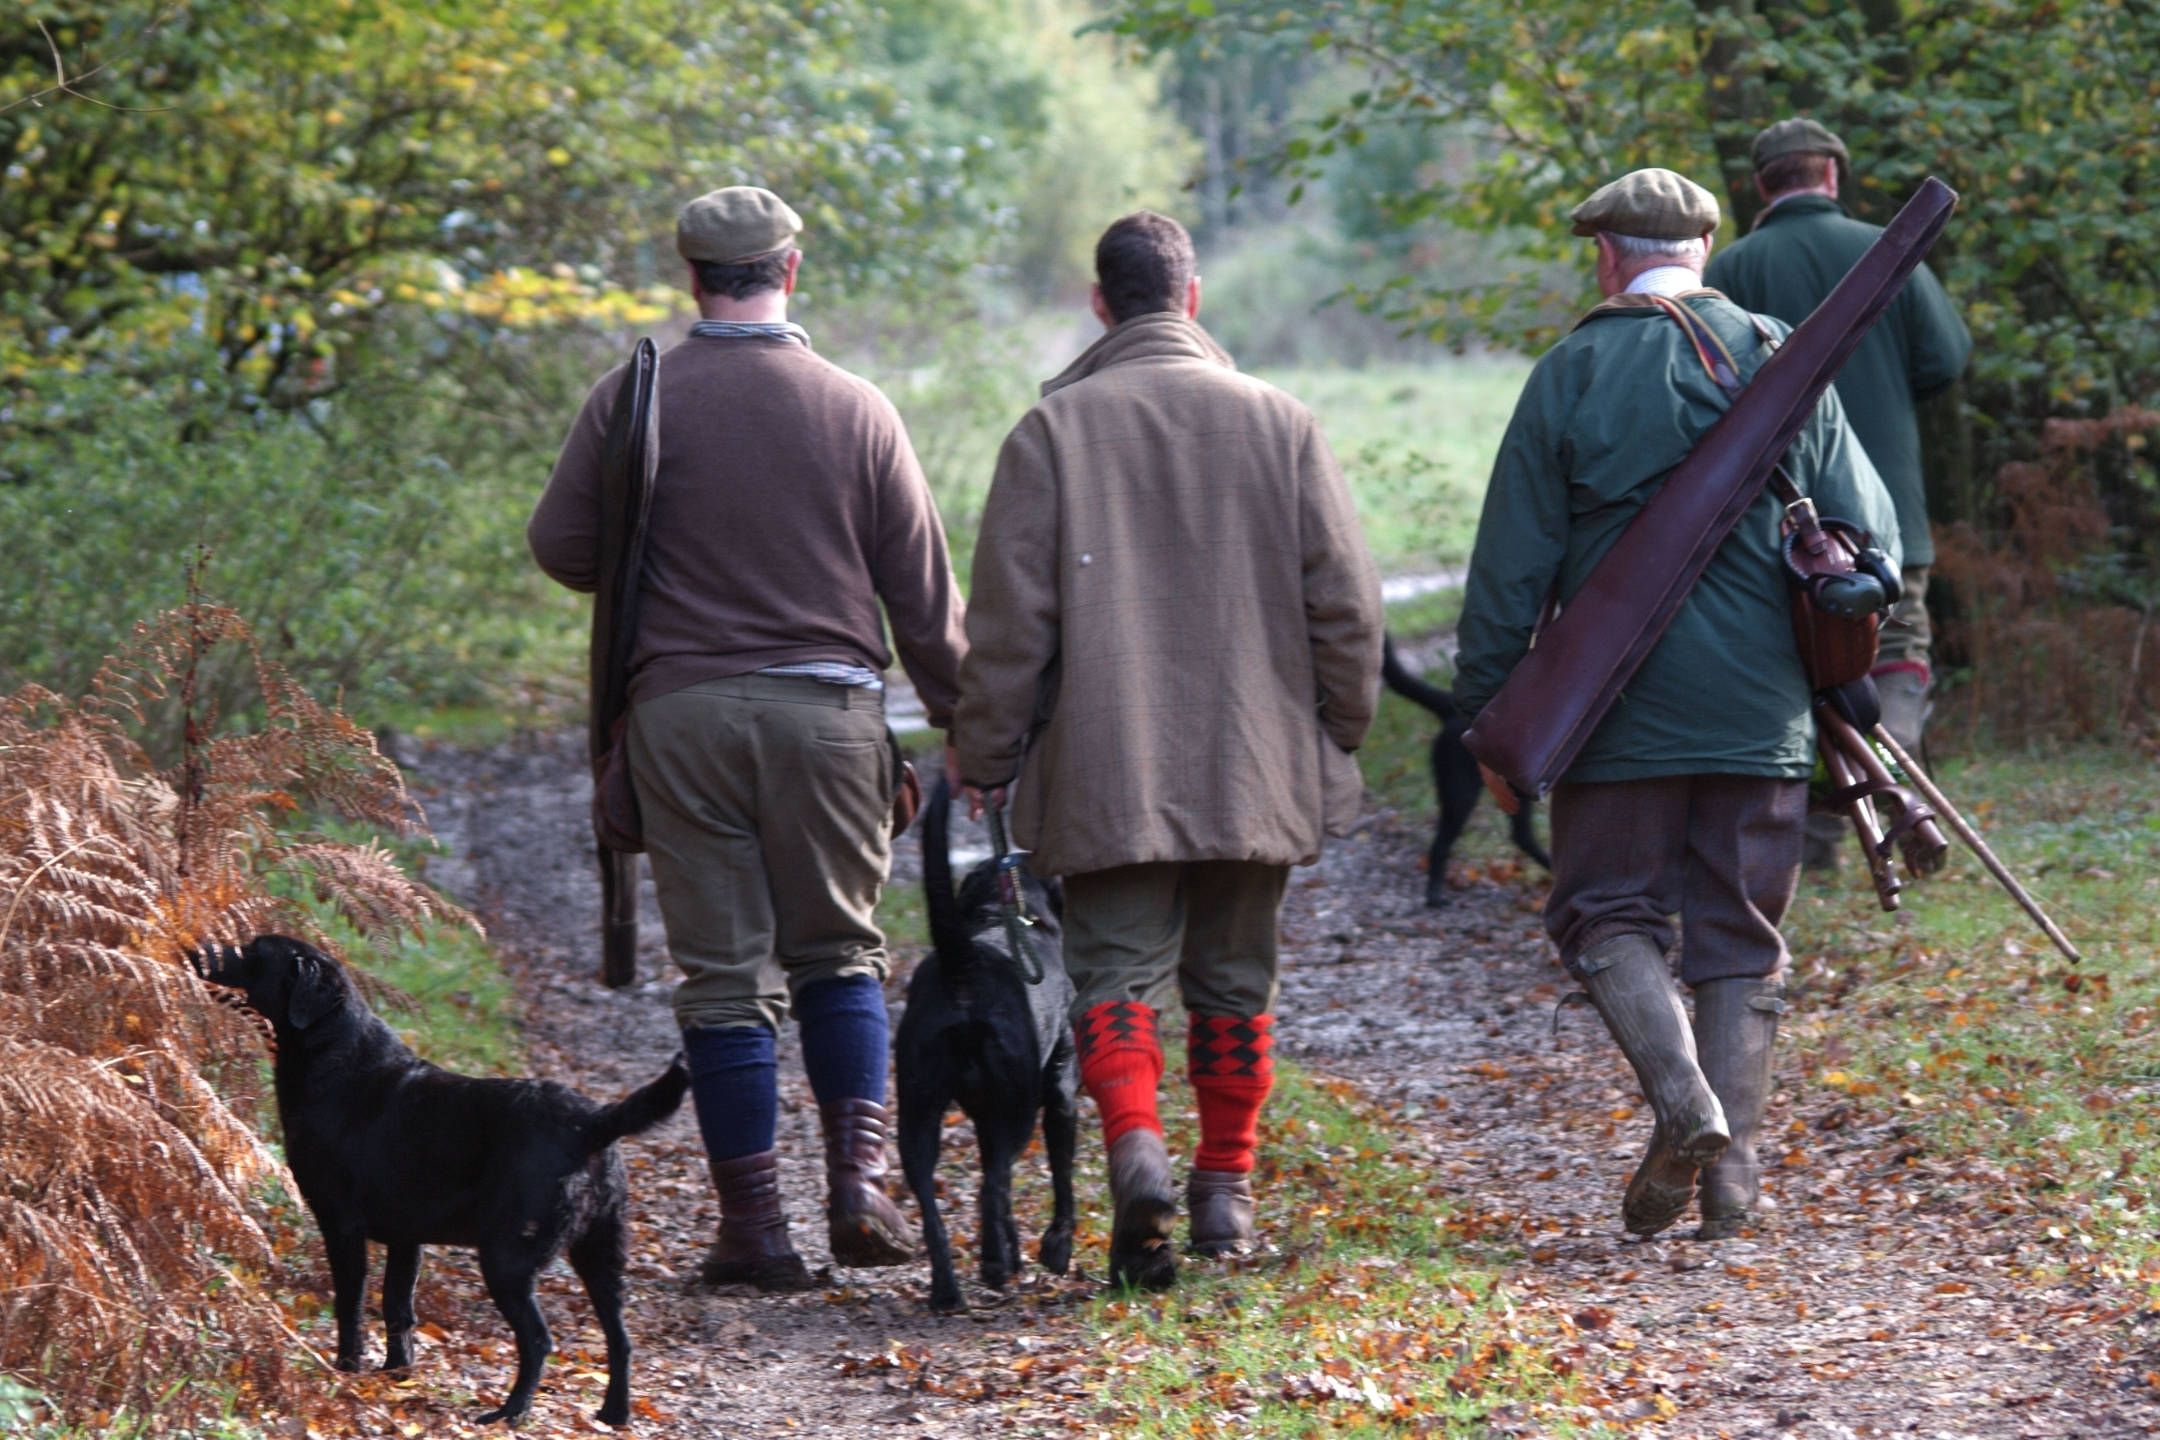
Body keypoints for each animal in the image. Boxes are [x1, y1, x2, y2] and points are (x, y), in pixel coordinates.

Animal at [194, 936, 686, 1433]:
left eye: (253, 952)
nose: (195, 950)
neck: (335, 1059)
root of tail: (593, 1122)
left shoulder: (341, 1225)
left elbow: (351, 1306)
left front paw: (346, 1370)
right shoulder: (406, 1238)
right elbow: (397, 1309)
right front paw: (398, 1374)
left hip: (507, 1258)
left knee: (538, 1340)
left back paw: (509, 1414)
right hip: (601, 1255)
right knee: (621, 1339)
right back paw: (614, 1415)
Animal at [889, 781, 1075, 1312]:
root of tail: (964, 967)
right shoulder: (1060, 1093)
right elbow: (1061, 1177)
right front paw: (1056, 1249)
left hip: (916, 1111)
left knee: (936, 1203)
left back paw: (947, 1290)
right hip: (1018, 1110)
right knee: (992, 1187)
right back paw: (995, 1266)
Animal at [1382, 634, 1555, 906]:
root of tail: (1451, 707)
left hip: (1514, 790)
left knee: (1521, 836)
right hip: (1461, 790)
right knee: (1441, 844)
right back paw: (1434, 895)